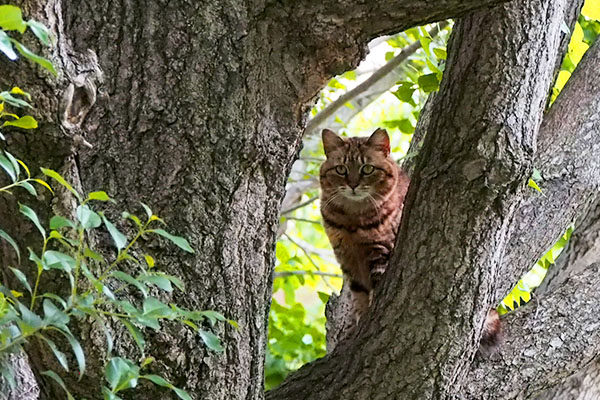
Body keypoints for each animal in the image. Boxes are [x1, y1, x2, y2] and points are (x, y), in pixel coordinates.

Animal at [318, 130, 502, 350]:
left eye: (367, 168)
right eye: (341, 169)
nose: (353, 185)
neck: (352, 222)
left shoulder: (380, 252)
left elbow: (373, 293)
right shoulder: (348, 261)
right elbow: (359, 296)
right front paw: (357, 324)